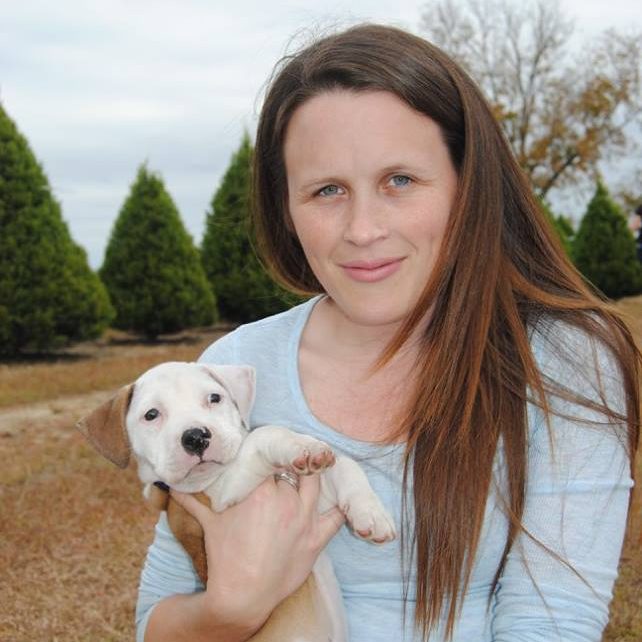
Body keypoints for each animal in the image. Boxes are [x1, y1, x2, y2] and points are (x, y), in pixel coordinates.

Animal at [76, 360, 396, 640]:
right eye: (151, 415)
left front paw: (371, 515)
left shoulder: (315, 495)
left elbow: (347, 467)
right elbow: (264, 434)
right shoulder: (221, 496)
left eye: (214, 398)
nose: (195, 436)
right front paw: (299, 445)